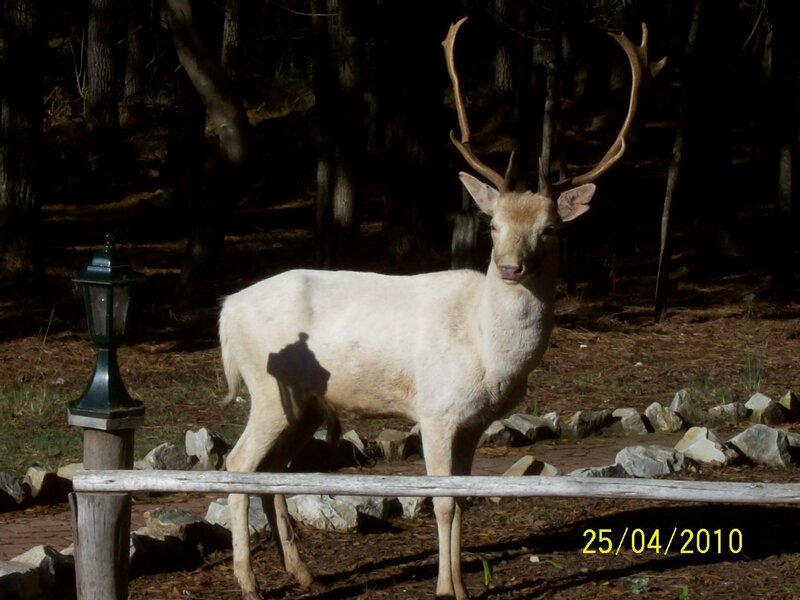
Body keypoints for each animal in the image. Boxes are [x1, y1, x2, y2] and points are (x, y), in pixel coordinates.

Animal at [219, 17, 665, 600]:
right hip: (269, 389)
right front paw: (445, 589)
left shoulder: (473, 421)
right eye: (493, 224)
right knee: (235, 464)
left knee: (272, 473)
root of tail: (226, 309)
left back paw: (304, 574)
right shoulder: (434, 411)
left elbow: (466, 500)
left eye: (550, 229)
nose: (510, 268)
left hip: (305, 405)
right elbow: (445, 502)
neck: (487, 352)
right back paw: (248, 583)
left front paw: (465, 586)